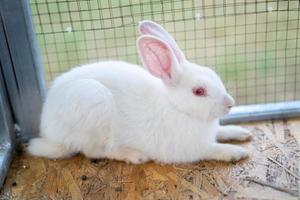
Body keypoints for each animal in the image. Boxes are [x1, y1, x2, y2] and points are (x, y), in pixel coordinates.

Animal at [28, 20, 252, 164]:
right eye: (199, 91)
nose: (230, 103)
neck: (177, 107)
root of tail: (48, 133)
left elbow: (222, 132)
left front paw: (242, 132)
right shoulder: (189, 149)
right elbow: (211, 148)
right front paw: (236, 152)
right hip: (95, 106)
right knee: (98, 151)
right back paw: (135, 156)